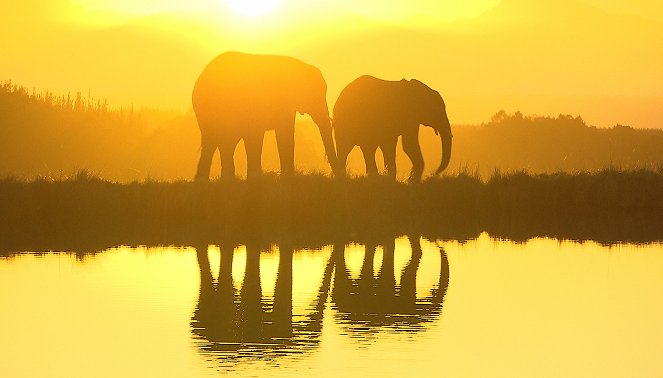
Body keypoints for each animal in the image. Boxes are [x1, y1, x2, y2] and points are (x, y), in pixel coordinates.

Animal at [191, 51, 338, 180]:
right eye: (316, 95)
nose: (337, 177)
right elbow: (276, 133)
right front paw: (264, 178)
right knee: (224, 141)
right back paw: (227, 179)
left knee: (213, 142)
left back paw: (205, 180)